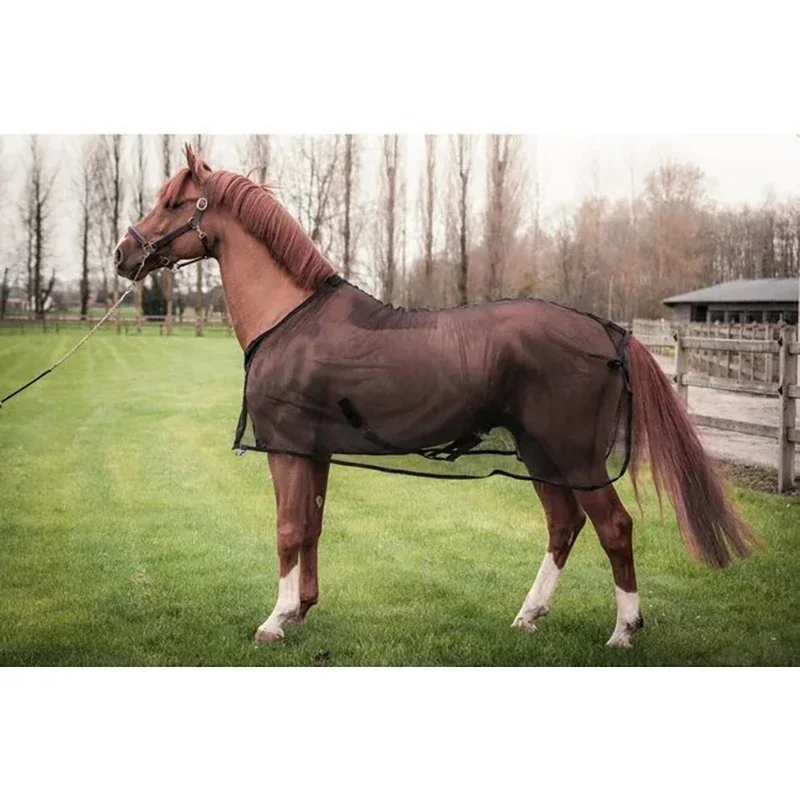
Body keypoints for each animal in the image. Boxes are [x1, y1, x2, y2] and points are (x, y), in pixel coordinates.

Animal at [114, 144, 761, 649]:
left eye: (174, 202)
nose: (123, 254)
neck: (291, 318)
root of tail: (607, 330)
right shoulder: (314, 453)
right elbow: (313, 527)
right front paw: (301, 611)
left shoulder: (288, 449)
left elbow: (289, 530)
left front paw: (274, 621)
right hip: (541, 455)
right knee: (564, 526)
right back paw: (528, 616)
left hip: (574, 456)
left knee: (614, 528)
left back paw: (623, 630)